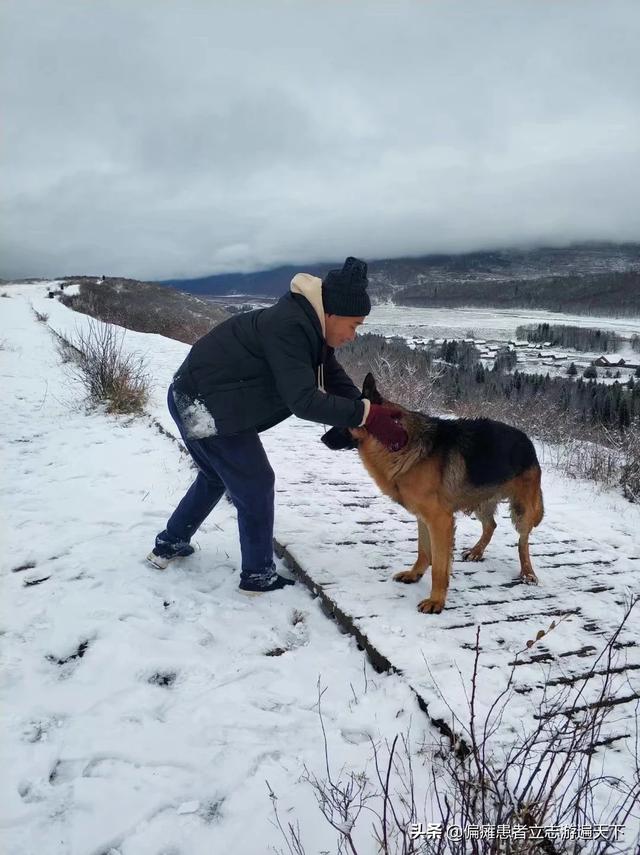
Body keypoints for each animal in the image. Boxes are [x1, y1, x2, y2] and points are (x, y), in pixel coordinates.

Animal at [322, 374, 544, 616]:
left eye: (346, 420)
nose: (323, 438)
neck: (401, 442)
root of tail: (527, 440)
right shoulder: (423, 517)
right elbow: (423, 551)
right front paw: (415, 574)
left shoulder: (440, 521)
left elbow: (438, 566)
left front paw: (436, 600)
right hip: (481, 501)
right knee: (491, 525)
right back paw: (476, 551)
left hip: (522, 510)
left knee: (523, 542)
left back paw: (528, 572)